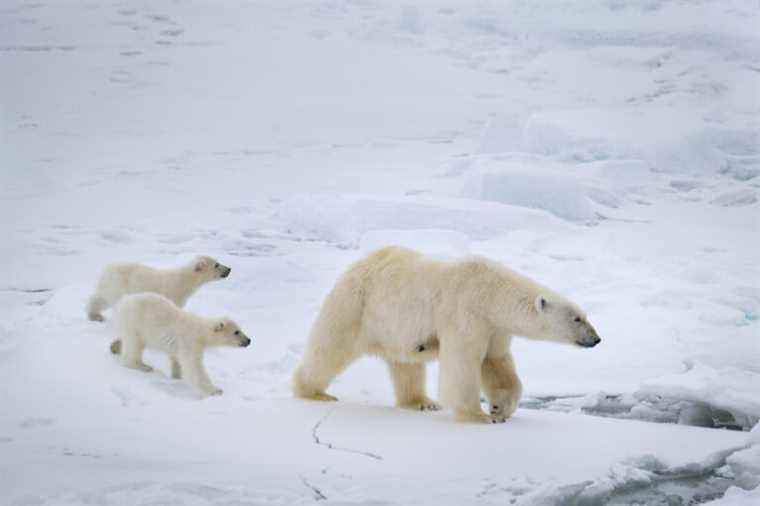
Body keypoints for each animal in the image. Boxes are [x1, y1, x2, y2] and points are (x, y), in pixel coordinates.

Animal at [85, 255, 229, 322]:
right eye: (216, 264)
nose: (229, 269)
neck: (184, 281)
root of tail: (107, 268)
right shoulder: (173, 294)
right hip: (119, 286)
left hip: (110, 285)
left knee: (100, 298)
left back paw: (95, 315)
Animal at [110, 294, 252, 398]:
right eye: (236, 332)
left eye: (240, 329)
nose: (248, 340)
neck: (200, 331)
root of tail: (124, 302)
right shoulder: (190, 342)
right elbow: (194, 367)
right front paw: (215, 390)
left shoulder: (181, 345)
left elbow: (177, 359)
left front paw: (177, 376)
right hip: (135, 324)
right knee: (134, 345)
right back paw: (143, 366)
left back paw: (115, 346)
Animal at [294, 245, 604, 422]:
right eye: (577, 318)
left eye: (586, 315)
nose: (596, 339)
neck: (490, 292)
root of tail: (359, 264)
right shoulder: (466, 312)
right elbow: (463, 363)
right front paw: (478, 416)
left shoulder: (494, 327)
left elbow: (496, 362)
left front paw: (500, 409)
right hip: (356, 305)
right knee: (330, 347)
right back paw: (313, 392)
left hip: (395, 328)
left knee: (406, 365)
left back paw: (421, 402)